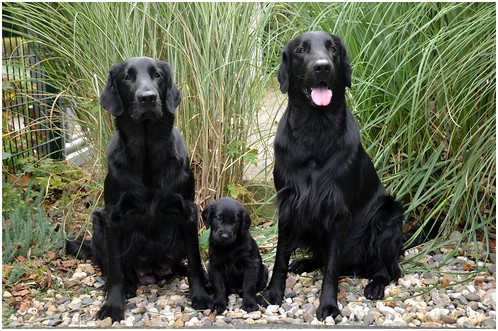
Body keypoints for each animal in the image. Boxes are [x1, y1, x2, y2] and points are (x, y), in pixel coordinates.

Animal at [65, 57, 210, 324]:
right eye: (127, 77)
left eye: (158, 75)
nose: (147, 98)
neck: (147, 151)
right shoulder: (112, 216)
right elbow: (115, 270)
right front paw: (113, 305)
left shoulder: (187, 211)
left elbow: (195, 261)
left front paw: (201, 294)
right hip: (98, 223)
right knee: (110, 268)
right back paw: (129, 286)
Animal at [258, 31, 406, 322]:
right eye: (301, 50)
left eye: (333, 49)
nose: (323, 66)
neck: (315, 132)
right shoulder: (288, 204)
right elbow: (280, 257)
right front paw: (272, 293)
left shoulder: (339, 213)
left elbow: (332, 268)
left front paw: (328, 306)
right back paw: (304, 262)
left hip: (387, 217)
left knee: (389, 270)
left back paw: (375, 285)